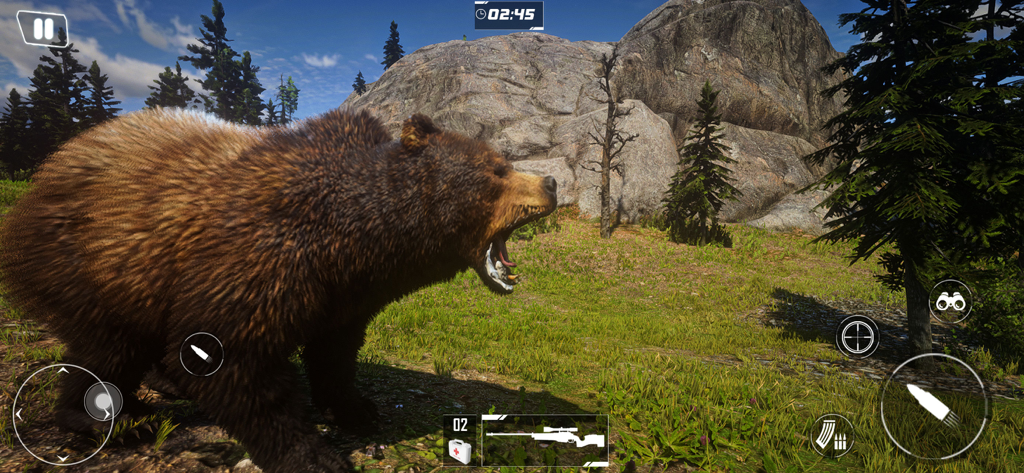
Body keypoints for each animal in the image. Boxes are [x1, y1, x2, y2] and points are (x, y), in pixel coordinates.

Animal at [0, 107, 557, 472]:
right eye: (498, 168)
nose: (550, 183)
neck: (356, 240)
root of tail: (52, 166)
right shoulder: (260, 261)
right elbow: (236, 360)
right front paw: (314, 454)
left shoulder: (345, 294)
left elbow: (335, 352)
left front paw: (356, 408)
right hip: (101, 261)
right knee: (109, 346)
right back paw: (111, 417)